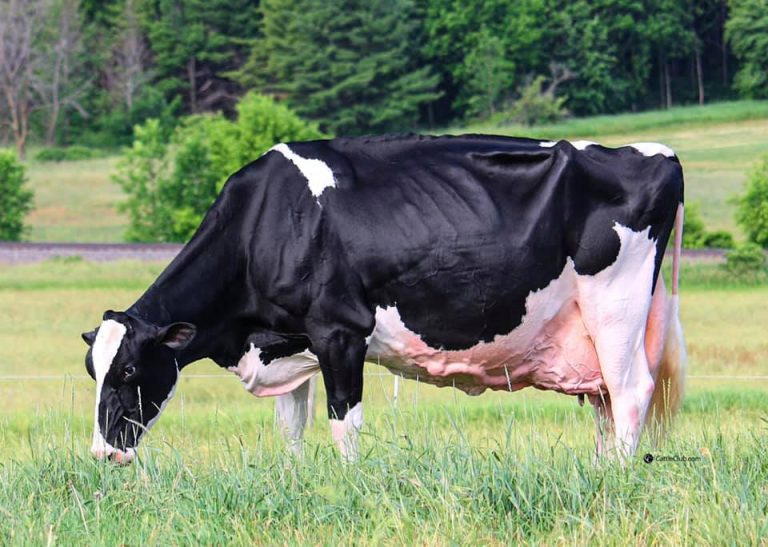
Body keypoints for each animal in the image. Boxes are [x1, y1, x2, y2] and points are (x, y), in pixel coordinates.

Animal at [81, 135, 688, 464]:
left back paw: (617, 479)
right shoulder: (286, 341)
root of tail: (660, 153)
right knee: (606, 403)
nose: (104, 453)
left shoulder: (339, 332)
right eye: (94, 370)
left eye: (130, 370)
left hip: (616, 307)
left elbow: (343, 424)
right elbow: (290, 428)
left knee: (630, 393)